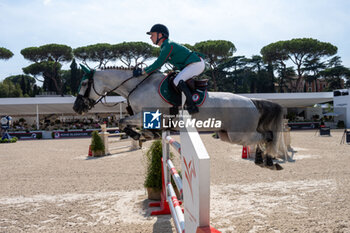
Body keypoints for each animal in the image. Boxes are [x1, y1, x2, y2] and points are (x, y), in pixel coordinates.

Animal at [72, 65, 288, 169]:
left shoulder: (148, 115)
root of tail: (251, 101)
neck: (137, 86)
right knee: (262, 137)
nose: (76, 108)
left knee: (267, 135)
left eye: (83, 84)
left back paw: (269, 159)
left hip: (238, 134)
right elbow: (127, 123)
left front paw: (139, 136)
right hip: (228, 134)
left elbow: (122, 122)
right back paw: (263, 160)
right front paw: (146, 135)